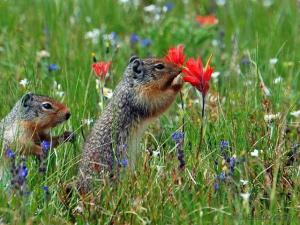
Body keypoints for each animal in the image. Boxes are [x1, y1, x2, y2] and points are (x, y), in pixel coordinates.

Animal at [78, 55, 182, 192]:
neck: (131, 83)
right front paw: (178, 82)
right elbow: (159, 101)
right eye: (159, 66)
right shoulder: (141, 96)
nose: (180, 69)